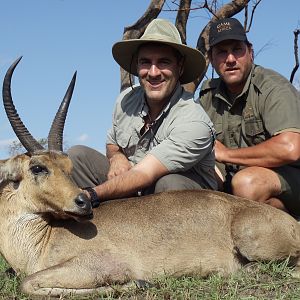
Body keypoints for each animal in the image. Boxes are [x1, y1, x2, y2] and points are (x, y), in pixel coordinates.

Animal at [0, 58, 300, 298]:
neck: (43, 238)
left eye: (66, 166)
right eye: (38, 167)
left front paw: (138, 283)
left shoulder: (94, 265)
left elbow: (27, 284)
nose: (83, 202)